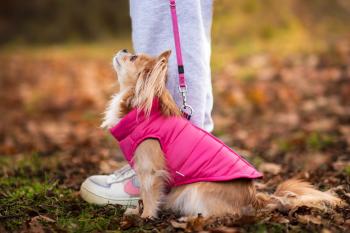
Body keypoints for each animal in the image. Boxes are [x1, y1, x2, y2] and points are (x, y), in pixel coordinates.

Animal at [102, 49, 342, 218]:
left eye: (133, 57)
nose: (123, 48)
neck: (144, 112)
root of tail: (255, 199)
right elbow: (143, 193)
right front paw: (136, 211)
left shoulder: (150, 169)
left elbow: (148, 193)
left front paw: (145, 216)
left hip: (195, 189)